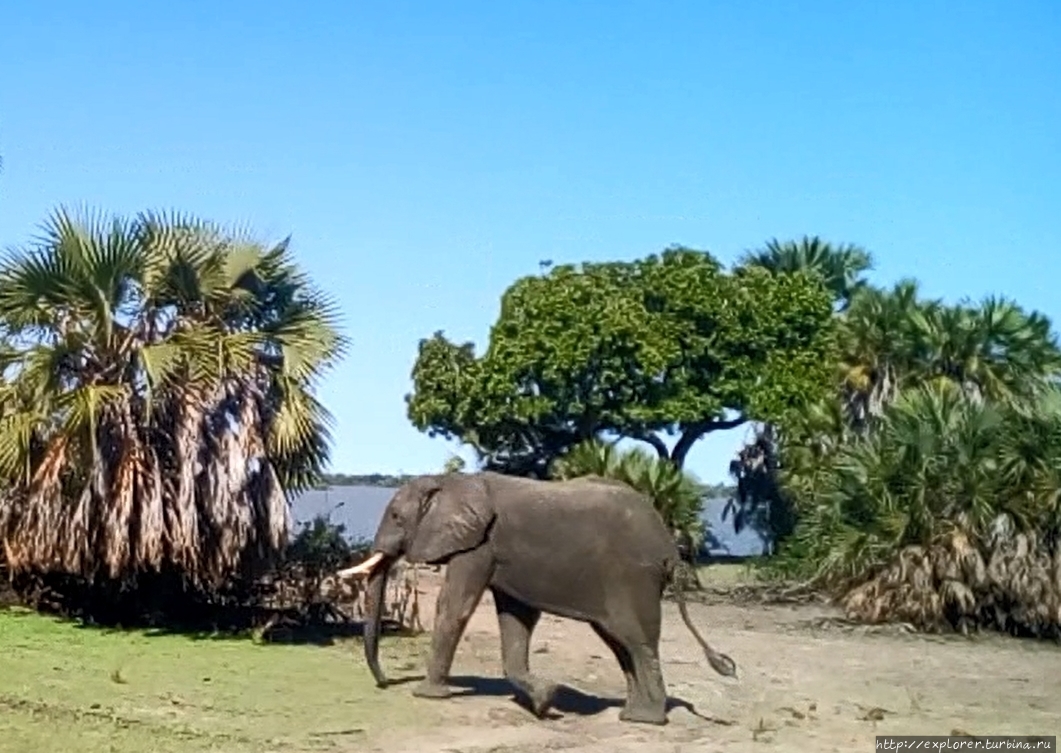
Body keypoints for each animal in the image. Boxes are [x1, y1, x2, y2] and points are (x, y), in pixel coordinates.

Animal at [343, 470, 734, 725]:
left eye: (396, 516)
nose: (384, 683)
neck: (452, 480)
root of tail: (671, 547)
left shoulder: (479, 546)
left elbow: (455, 606)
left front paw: (428, 695)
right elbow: (516, 618)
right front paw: (545, 700)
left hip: (632, 577)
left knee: (636, 640)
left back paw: (647, 720)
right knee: (620, 643)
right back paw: (632, 714)